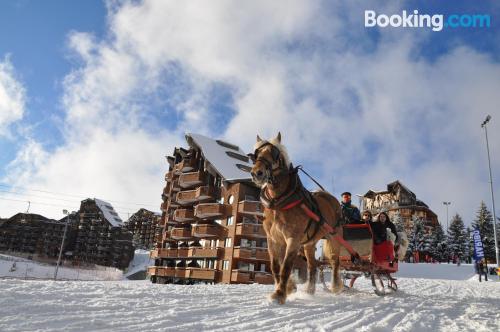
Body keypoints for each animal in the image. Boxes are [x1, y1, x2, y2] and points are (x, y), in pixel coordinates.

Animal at [249, 132, 344, 304]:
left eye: (274, 153)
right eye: (256, 154)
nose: (256, 173)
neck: (279, 202)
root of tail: (329, 196)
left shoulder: (293, 239)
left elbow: (286, 266)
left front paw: (279, 295)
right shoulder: (272, 240)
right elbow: (275, 266)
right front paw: (289, 287)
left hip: (334, 236)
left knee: (335, 261)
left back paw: (335, 287)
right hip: (309, 244)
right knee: (312, 265)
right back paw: (310, 291)